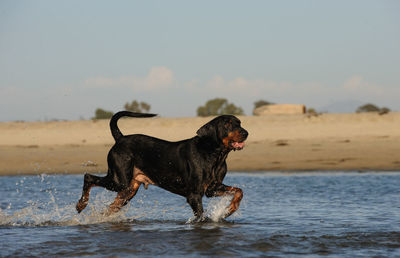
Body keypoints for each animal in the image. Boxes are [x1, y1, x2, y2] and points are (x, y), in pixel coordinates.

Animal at [76, 111, 247, 220]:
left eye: (239, 123)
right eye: (227, 124)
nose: (246, 133)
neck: (215, 154)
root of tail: (120, 138)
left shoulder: (212, 188)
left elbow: (239, 191)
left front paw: (229, 210)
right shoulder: (194, 195)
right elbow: (201, 217)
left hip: (128, 190)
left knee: (109, 207)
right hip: (120, 182)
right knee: (88, 177)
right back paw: (81, 205)